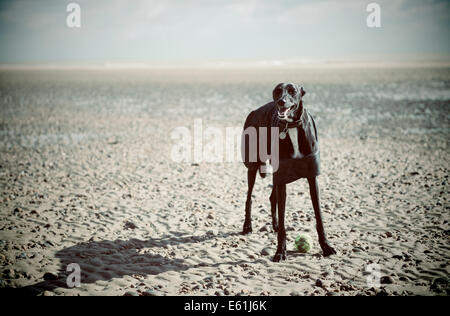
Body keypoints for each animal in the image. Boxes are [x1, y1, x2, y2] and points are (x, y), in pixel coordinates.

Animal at [241, 82, 336, 262]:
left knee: (272, 197)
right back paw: (247, 226)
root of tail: (254, 111)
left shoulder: (311, 177)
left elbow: (319, 217)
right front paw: (280, 251)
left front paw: (326, 247)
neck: (291, 126)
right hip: (253, 166)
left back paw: (275, 225)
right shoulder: (282, 175)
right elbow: (283, 216)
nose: (281, 101)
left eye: (292, 91)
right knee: (249, 197)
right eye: (277, 91)